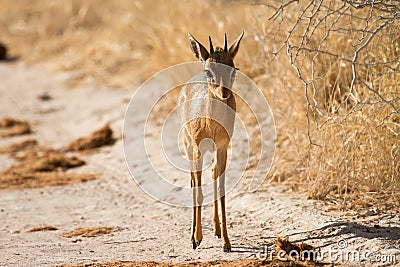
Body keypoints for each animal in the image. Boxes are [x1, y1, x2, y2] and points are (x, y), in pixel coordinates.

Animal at [177, 32, 244, 252]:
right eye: (209, 71)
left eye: (233, 70)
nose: (224, 93)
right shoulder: (197, 148)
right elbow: (198, 192)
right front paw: (196, 239)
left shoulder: (222, 147)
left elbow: (221, 191)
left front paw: (227, 242)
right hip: (189, 147)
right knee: (192, 182)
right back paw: (194, 235)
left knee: (213, 174)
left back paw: (216, 230)